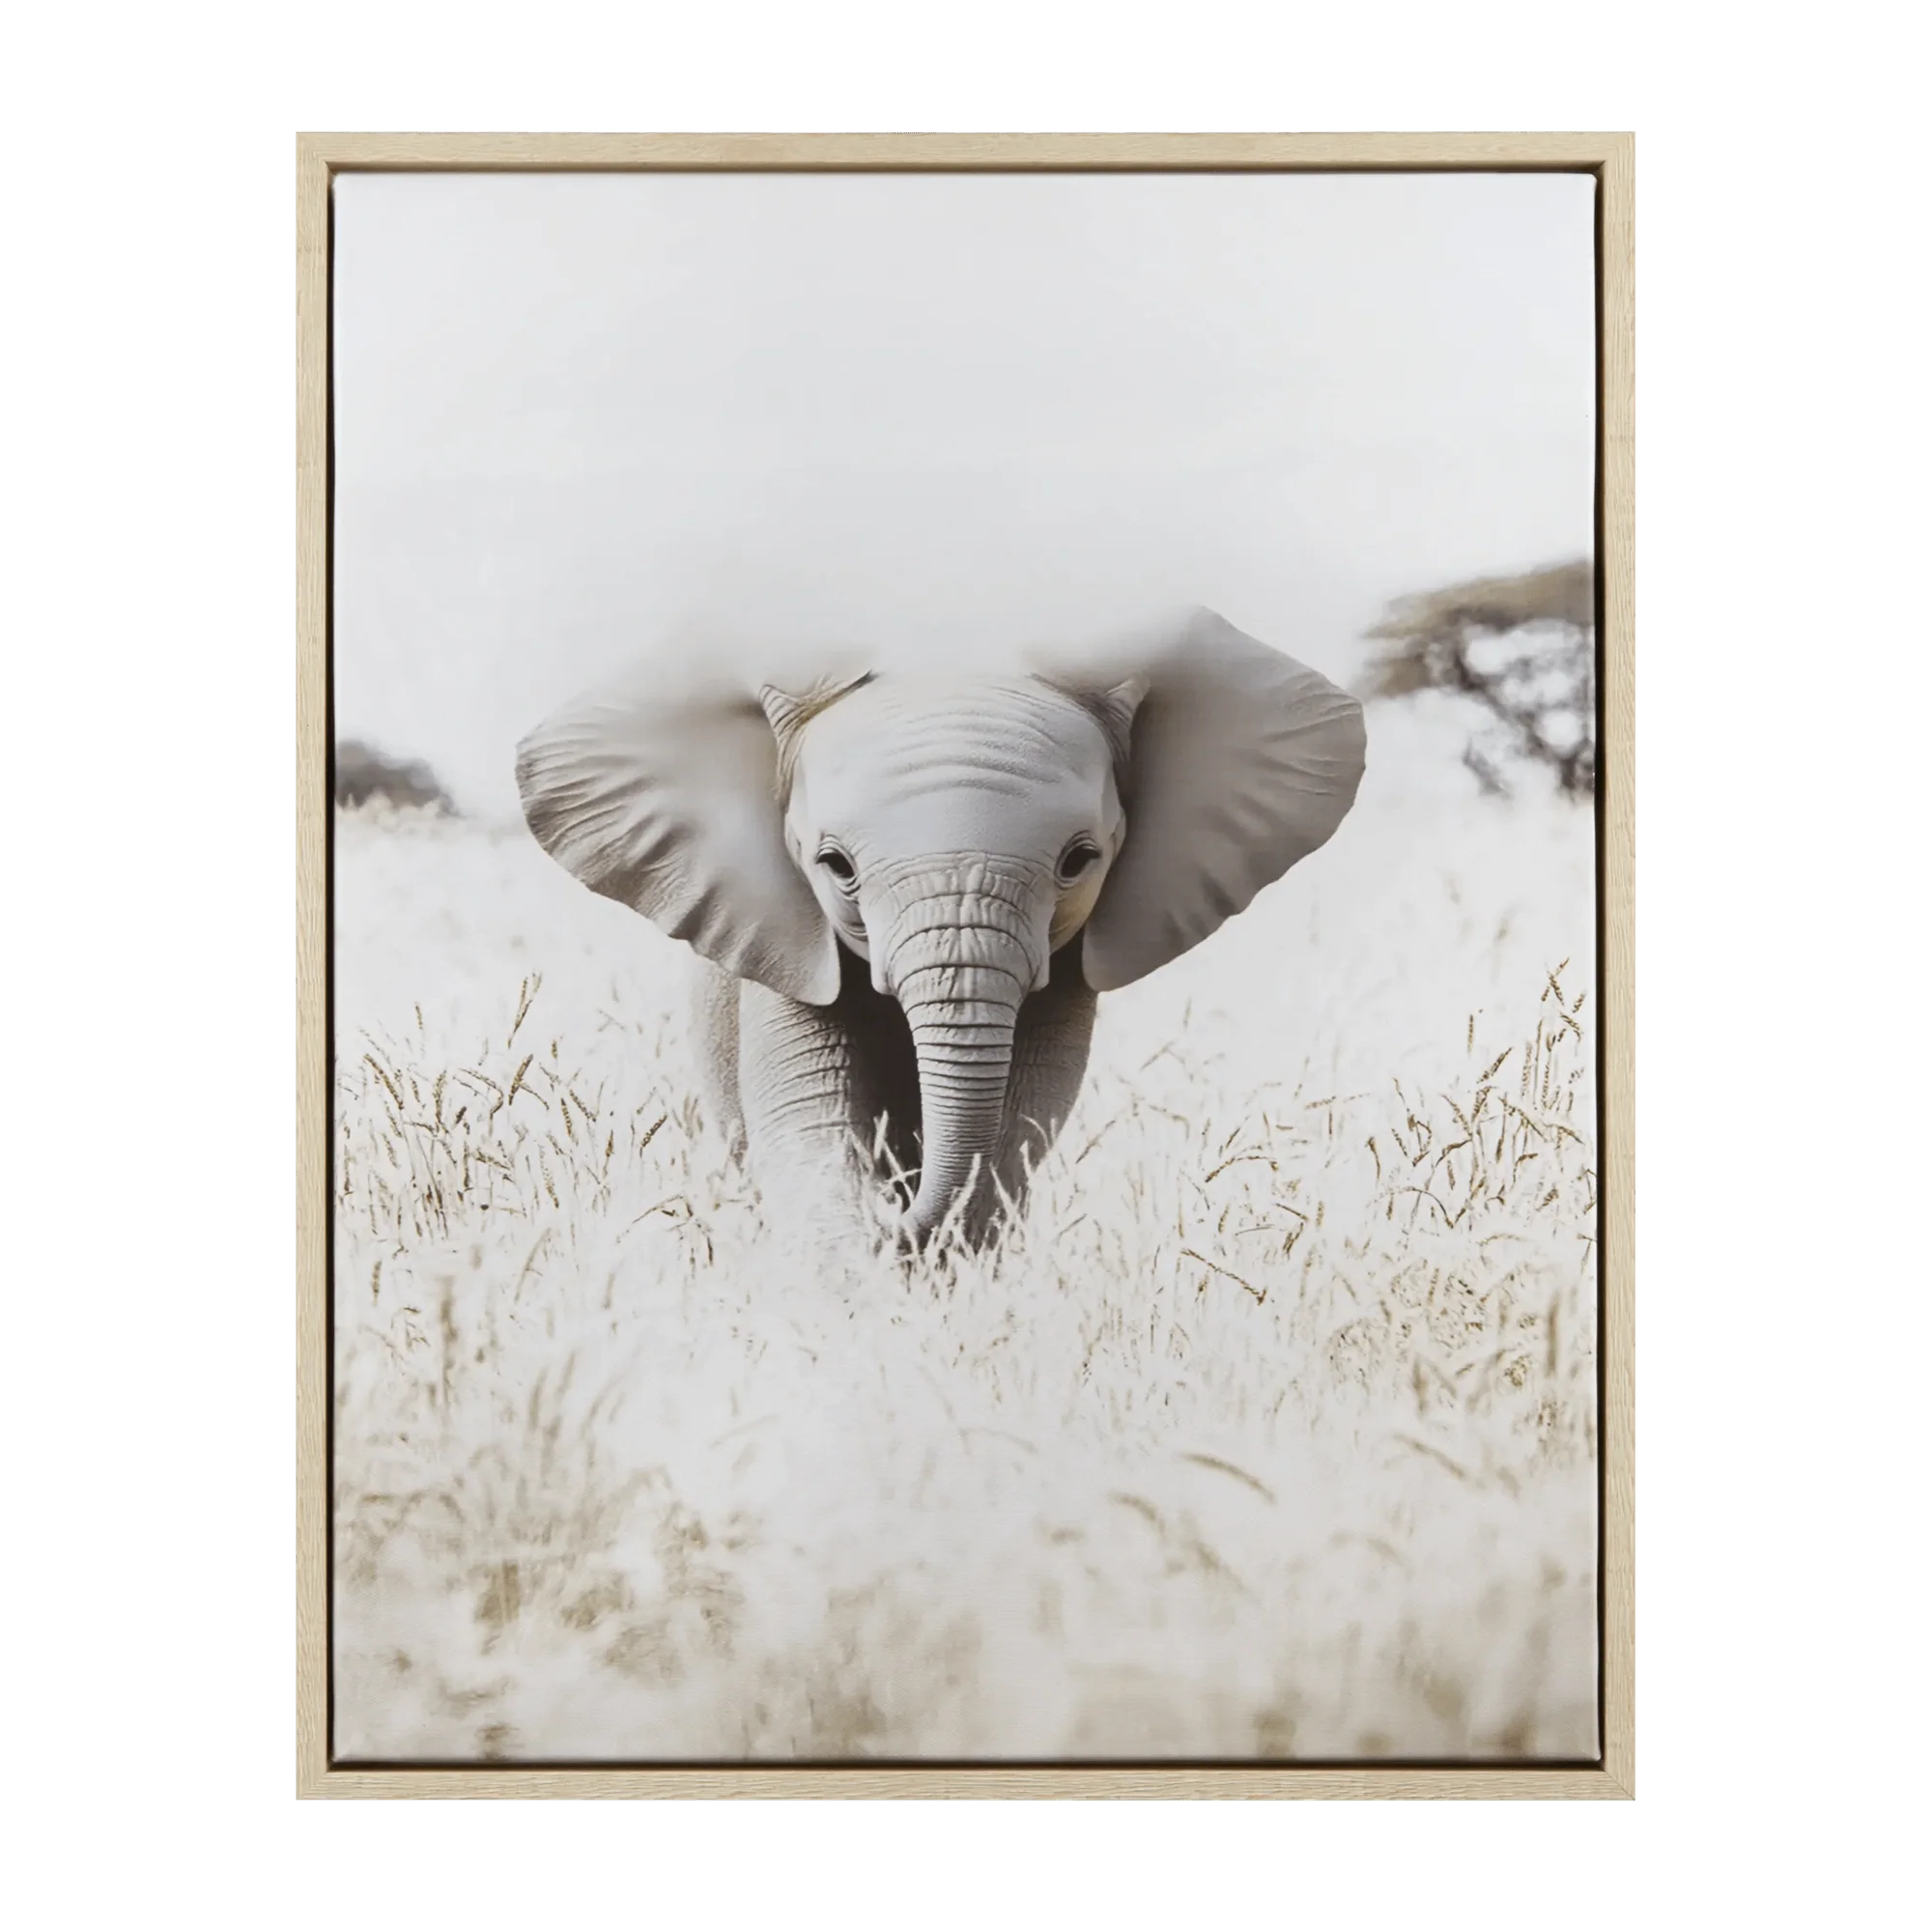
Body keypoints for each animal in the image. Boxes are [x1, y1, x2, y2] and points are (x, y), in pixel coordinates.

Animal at [515, 608, 1366, 1253]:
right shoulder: (788, 939)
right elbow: (811, 1126)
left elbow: (1016, 1128)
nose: (897, 1208)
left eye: (1079, 860)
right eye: (834, 865)